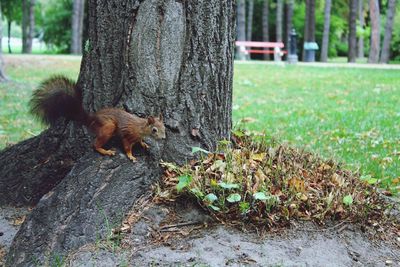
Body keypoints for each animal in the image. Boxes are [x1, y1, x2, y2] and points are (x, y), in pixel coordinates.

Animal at [30, 76, 166, 162]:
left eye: (164, 128)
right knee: (94, 145)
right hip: (108, 127)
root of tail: (91, 119)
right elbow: (127, 146)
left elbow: (140, 141)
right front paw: (131, 156)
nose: (163, 138)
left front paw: (144, 144)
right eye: (154, 130)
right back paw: (106, 151)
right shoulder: (128, 134)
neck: (141, 127)